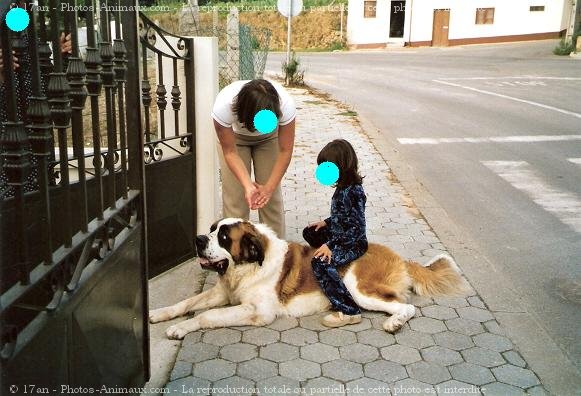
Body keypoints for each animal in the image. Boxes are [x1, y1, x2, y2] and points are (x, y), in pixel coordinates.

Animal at [148, 218, 466, 338]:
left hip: (358, 286)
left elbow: (207, 316)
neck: (249, 266)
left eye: (224, 237)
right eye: (213, 228)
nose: (199, 239)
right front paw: (160, 313)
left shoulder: (258, 311)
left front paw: (181, 328)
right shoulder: (223, 293)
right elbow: (188, 302)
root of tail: (399, 256)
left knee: (405, 306)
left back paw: (394, 322)